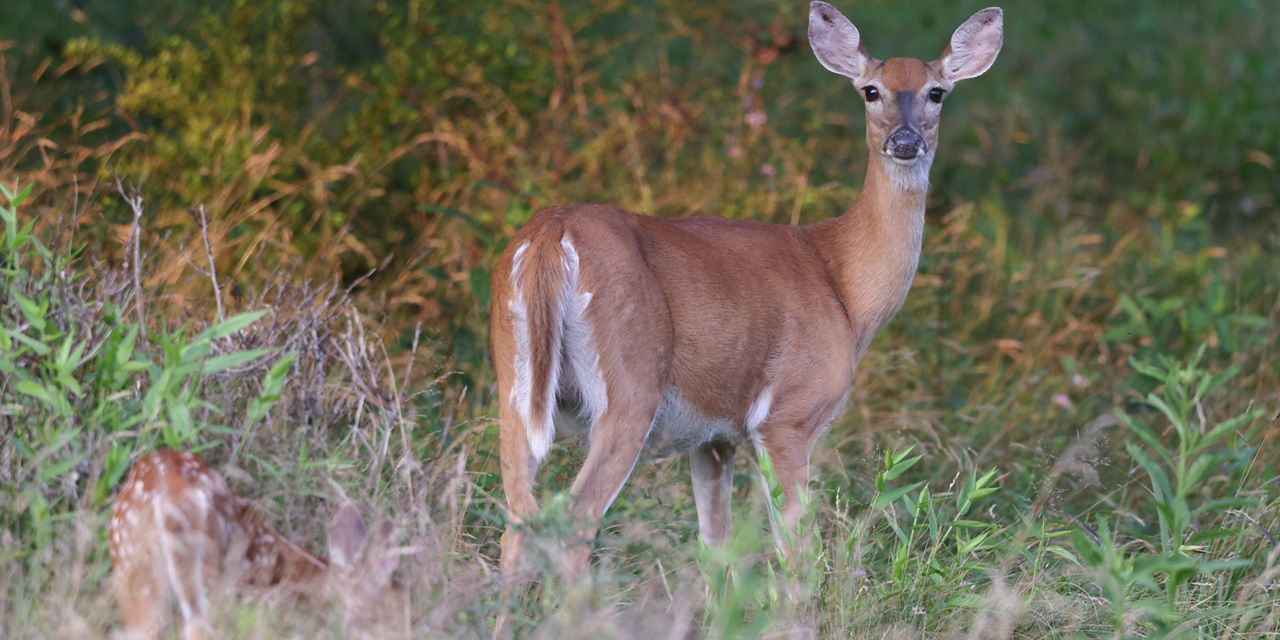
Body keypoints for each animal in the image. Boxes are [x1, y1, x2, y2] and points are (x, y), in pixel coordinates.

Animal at [488, 0, 998, 581]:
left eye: (937, 92)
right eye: (871, 90)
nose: (906, 141)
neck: (842, 284)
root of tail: (551, 233)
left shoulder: (712, 438)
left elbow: (717, 548)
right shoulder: (788, 414)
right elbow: (798, 552)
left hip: (513, 382)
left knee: (518, 522)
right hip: (629, 381)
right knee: (572, 522)